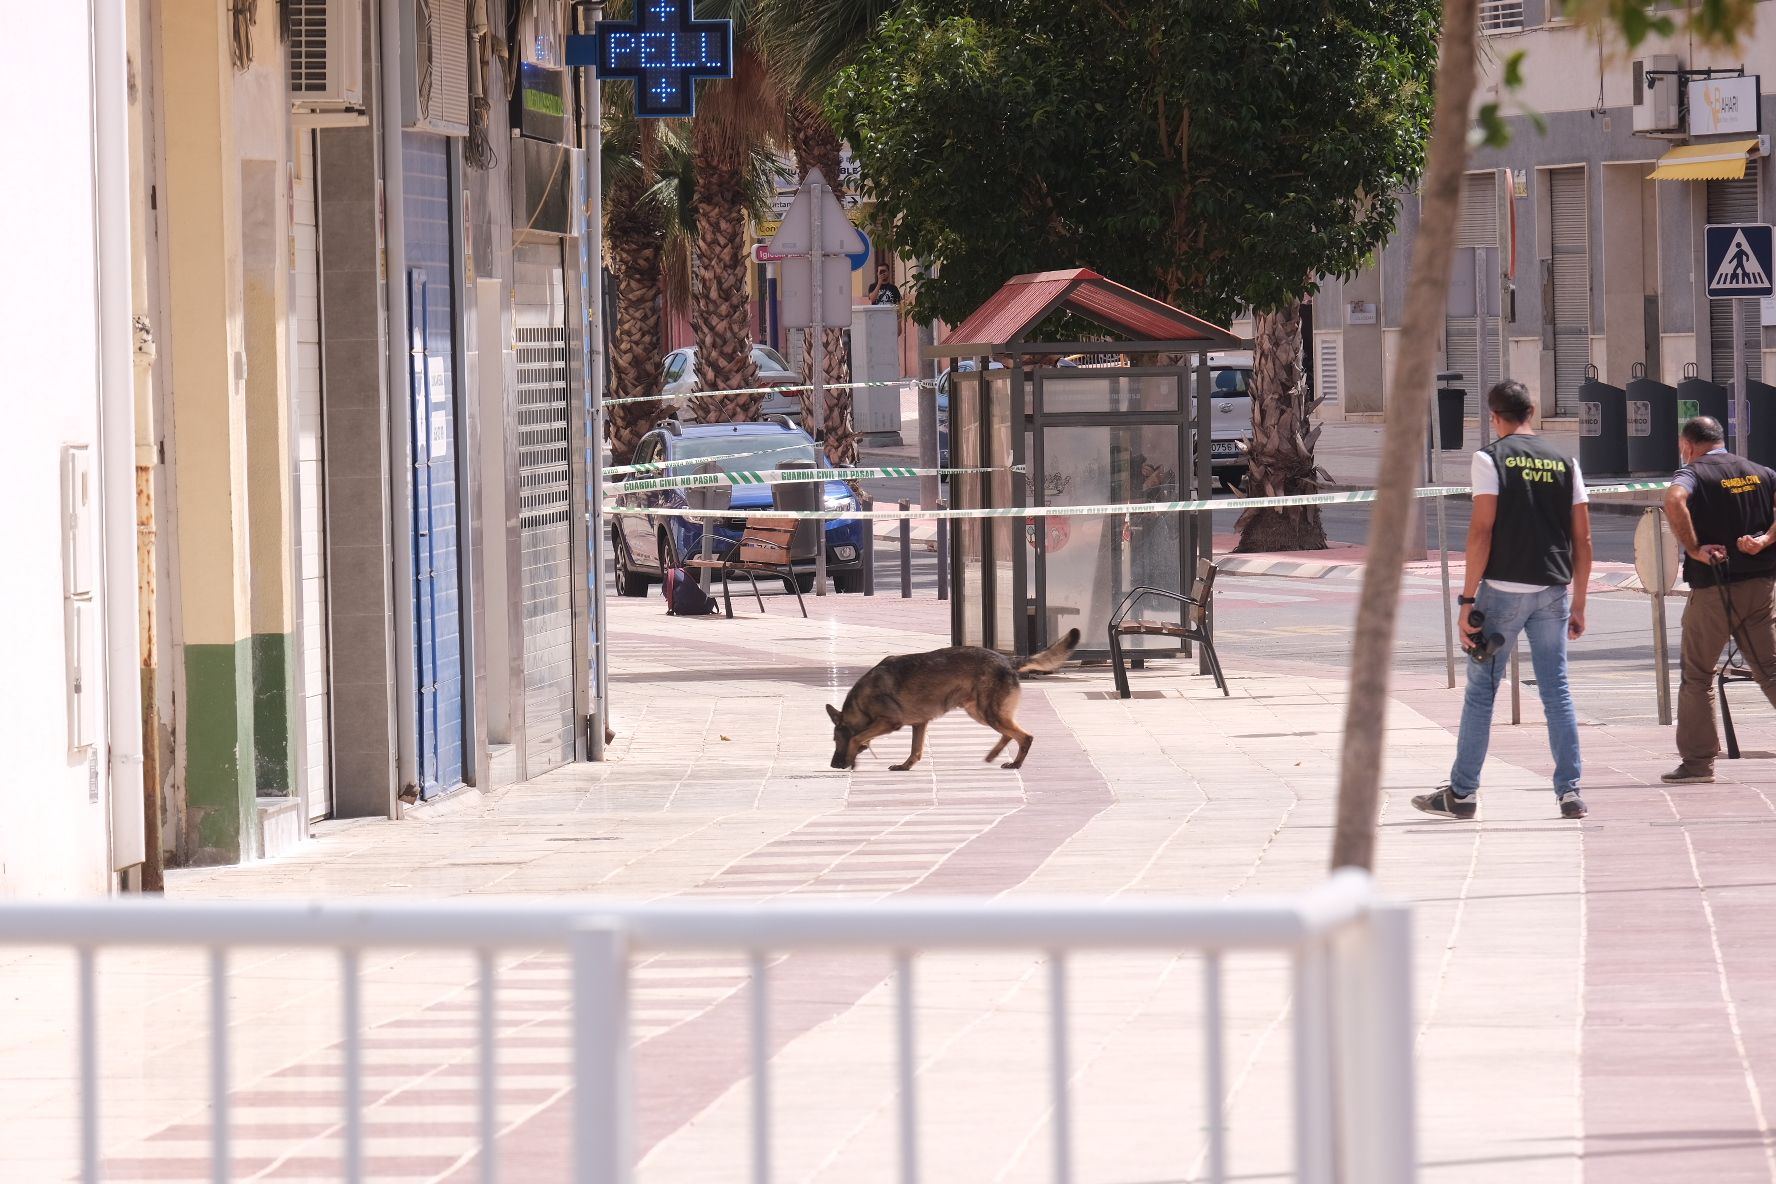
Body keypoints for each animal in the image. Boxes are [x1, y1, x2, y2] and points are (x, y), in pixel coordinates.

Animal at [820, 624, 1079, 773]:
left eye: (835, 740)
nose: (833, 764)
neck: (861, 702)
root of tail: (1008, 659)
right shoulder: (919, 724)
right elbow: (915, 750)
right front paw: (905, 766)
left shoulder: (889, 723)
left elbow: (857, 737)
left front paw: (853, 757)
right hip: (980, 713)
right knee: (1008, 733)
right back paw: (994, 754)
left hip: (989, 713)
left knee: (1024, 737)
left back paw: (1015, 763)